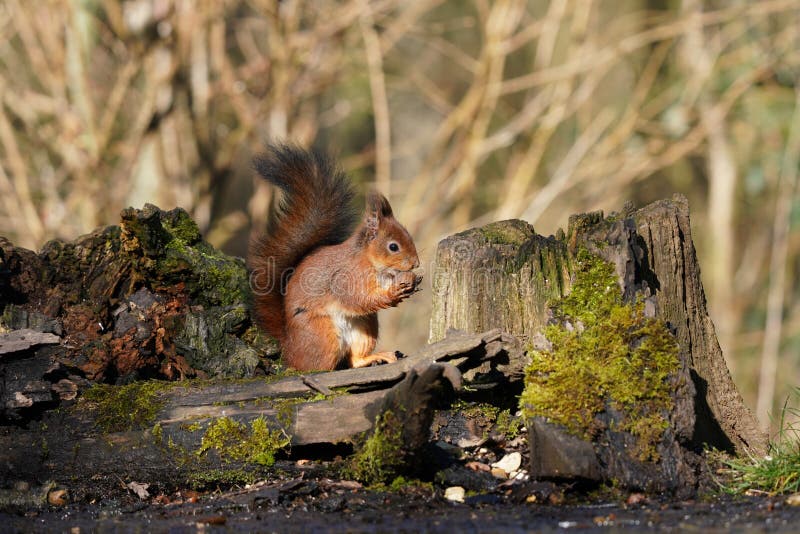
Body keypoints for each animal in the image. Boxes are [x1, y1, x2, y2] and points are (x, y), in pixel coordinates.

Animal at [248, 144, 422, 371]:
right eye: (393, 247)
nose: (416, 263)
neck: (370, 262)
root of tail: (289, 348)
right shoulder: (346, 277)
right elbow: (358, 298)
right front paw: (393, 293)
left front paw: (410, 284)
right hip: (323, 334)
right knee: (316, 366)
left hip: (364, 327)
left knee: (355, 359)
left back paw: (375, 357)